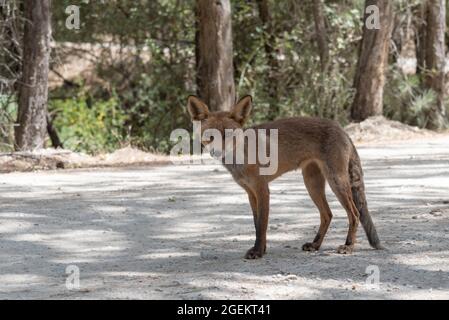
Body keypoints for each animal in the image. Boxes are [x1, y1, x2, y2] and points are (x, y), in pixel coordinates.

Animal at [186, 94, 382, 258]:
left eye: (228, 135)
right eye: (210, 136)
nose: (217, 152)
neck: (242, 156)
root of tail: (340, 128)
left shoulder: (262, 189)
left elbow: (262, 225)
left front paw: (258, 252)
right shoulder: (250, 193)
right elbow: (257, 224)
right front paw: (262, 249)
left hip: (336, 182)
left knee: (355, 214)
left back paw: (348, 246)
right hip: (312, 184)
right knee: (328, 214)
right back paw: (315, 245)